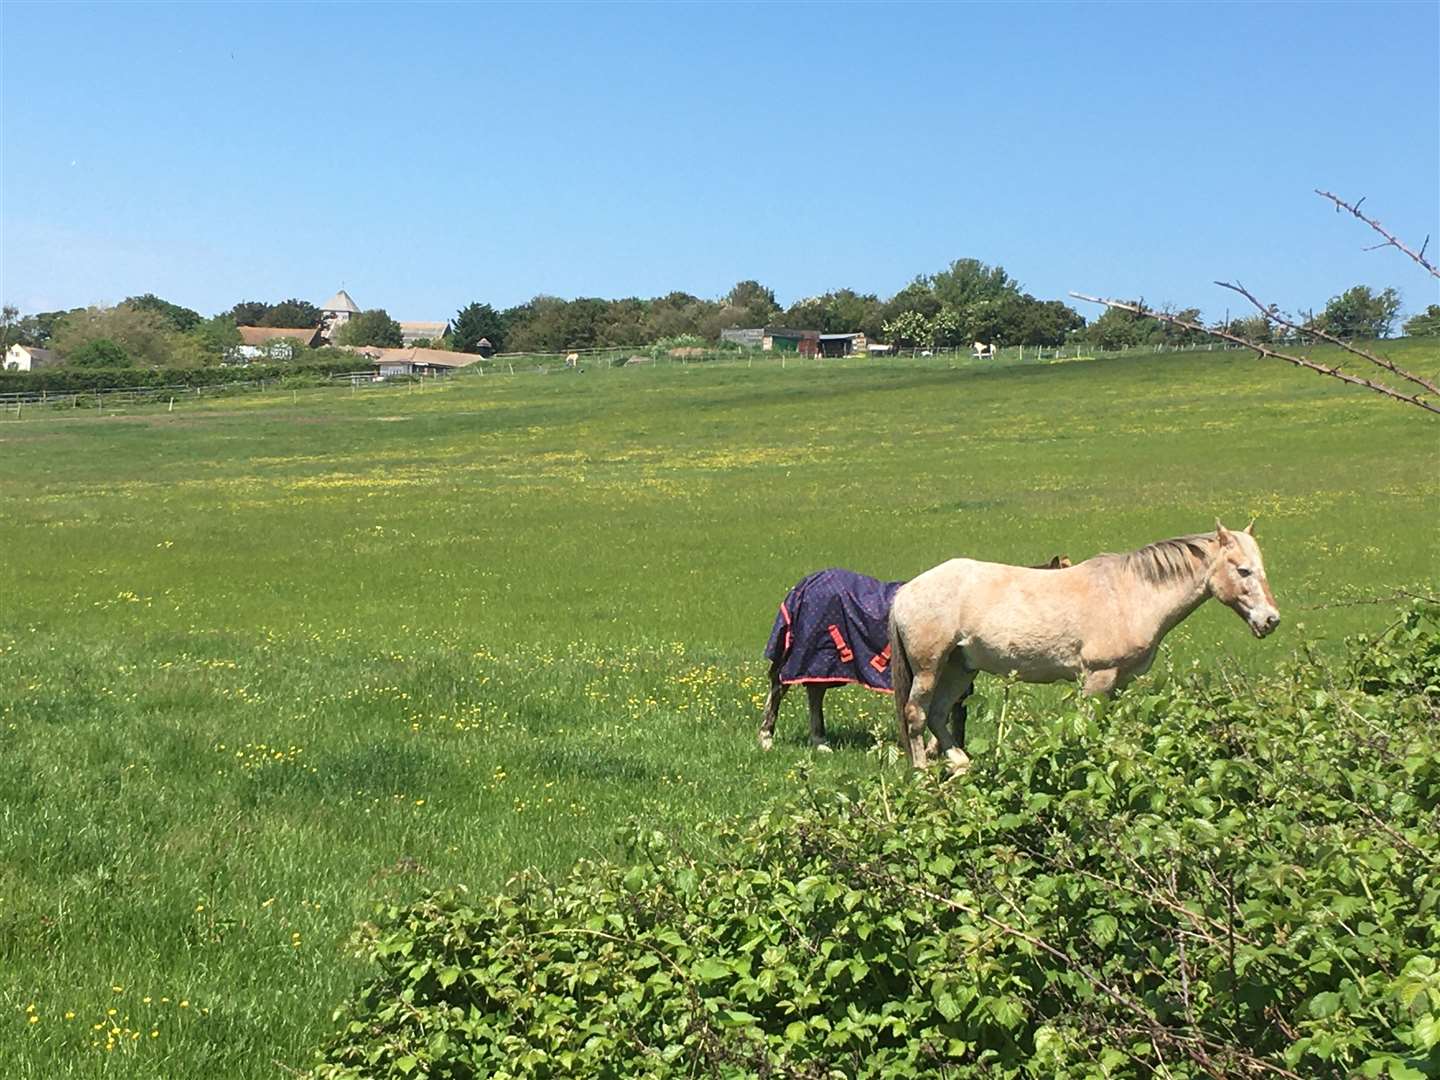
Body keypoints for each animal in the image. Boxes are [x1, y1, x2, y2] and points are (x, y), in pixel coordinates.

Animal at [760, 558, 1065, 754]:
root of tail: (804, 585)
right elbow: (951, 714)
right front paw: (937, 751)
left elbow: (956, 713)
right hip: (808, 655)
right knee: (780, 686)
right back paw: (767, 738)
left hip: (823, 662)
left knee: (814, 692)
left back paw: (819, 741)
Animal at [887, 521, 1284, 771]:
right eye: (1243, 570)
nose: (1270, 620)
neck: (1130, 593)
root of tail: (905, 593)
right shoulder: (1098, 677)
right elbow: (1087, 726)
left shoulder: (1120, 682)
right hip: (929, 668)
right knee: (916, 715)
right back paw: (922, 775)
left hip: (959, 668)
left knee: (938, 714)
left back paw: (961, 765)